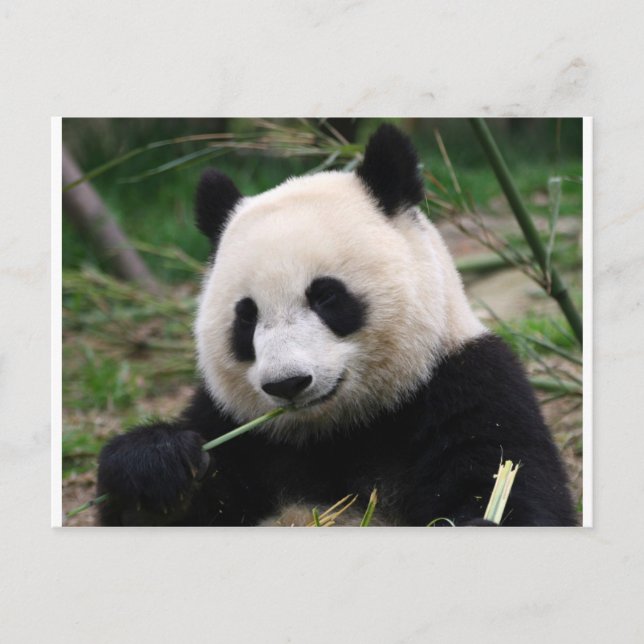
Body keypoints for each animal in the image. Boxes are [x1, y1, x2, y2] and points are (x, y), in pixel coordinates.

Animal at [97, 124, 576, 527]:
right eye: (246, 316)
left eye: (326, 296)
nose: (287, 383)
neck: (335, 431)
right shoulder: (233, 425)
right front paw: (156, 469)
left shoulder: (468, 386)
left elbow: (507, 488)